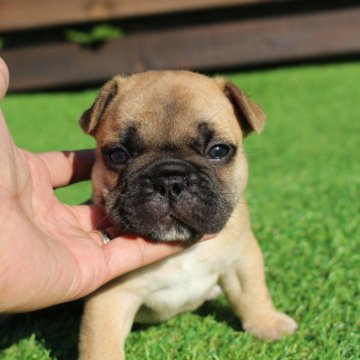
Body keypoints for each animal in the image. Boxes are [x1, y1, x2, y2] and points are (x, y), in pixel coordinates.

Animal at [77, 71, 296, 360]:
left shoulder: (242, 255)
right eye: (118, 155)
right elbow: (101, 343)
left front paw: (267, 322)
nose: (170, 181)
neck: (182, 249)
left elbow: (252, 291)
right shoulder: (109, 297)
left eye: (218, 151)